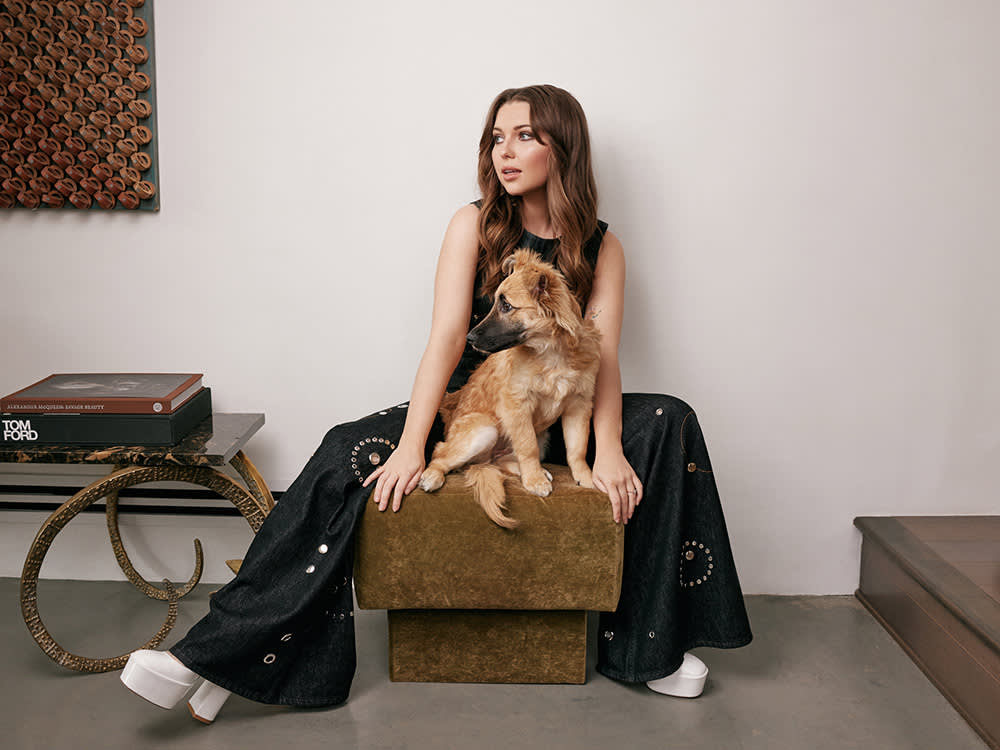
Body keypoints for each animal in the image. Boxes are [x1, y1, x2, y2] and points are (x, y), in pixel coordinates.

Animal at [416, 250, 596, 524]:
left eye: (507, 306)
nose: (469, 338)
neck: (551, 353)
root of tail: (481, 461)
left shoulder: (579, 405)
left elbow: (577, 448)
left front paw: (585, 477)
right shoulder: (517, 405)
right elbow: (527, 446)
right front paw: (535, 481)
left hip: (541, 436)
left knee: (500, 462)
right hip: (484, 430)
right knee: (440, 453)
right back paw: (432, 475)